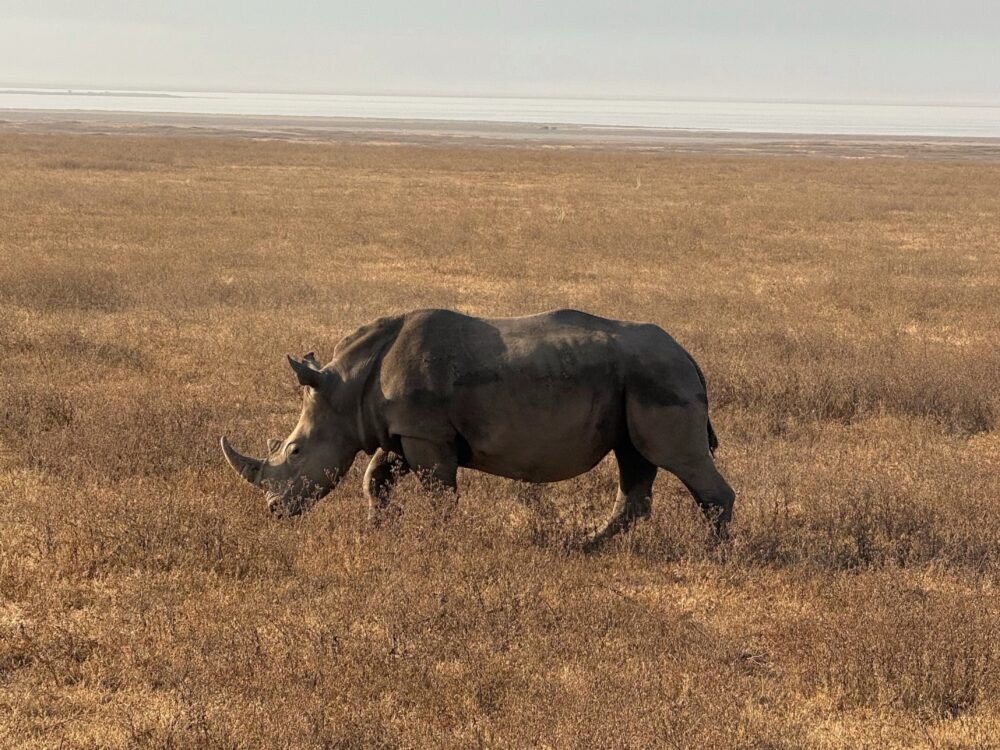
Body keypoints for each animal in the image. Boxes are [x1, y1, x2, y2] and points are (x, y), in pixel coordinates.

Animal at [221, 308, 734, 547]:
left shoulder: (425, 434)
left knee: (677, 458)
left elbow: (438, 492)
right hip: (639, 381)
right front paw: (377, 528)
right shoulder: (405, 430)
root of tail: (688, 356)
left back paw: (716, 553)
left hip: (659, 377)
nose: (274, 510)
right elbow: (375, 478)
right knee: (635, 462)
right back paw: (585, 546)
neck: (346, 388)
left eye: (294, 452)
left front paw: (441, 539)